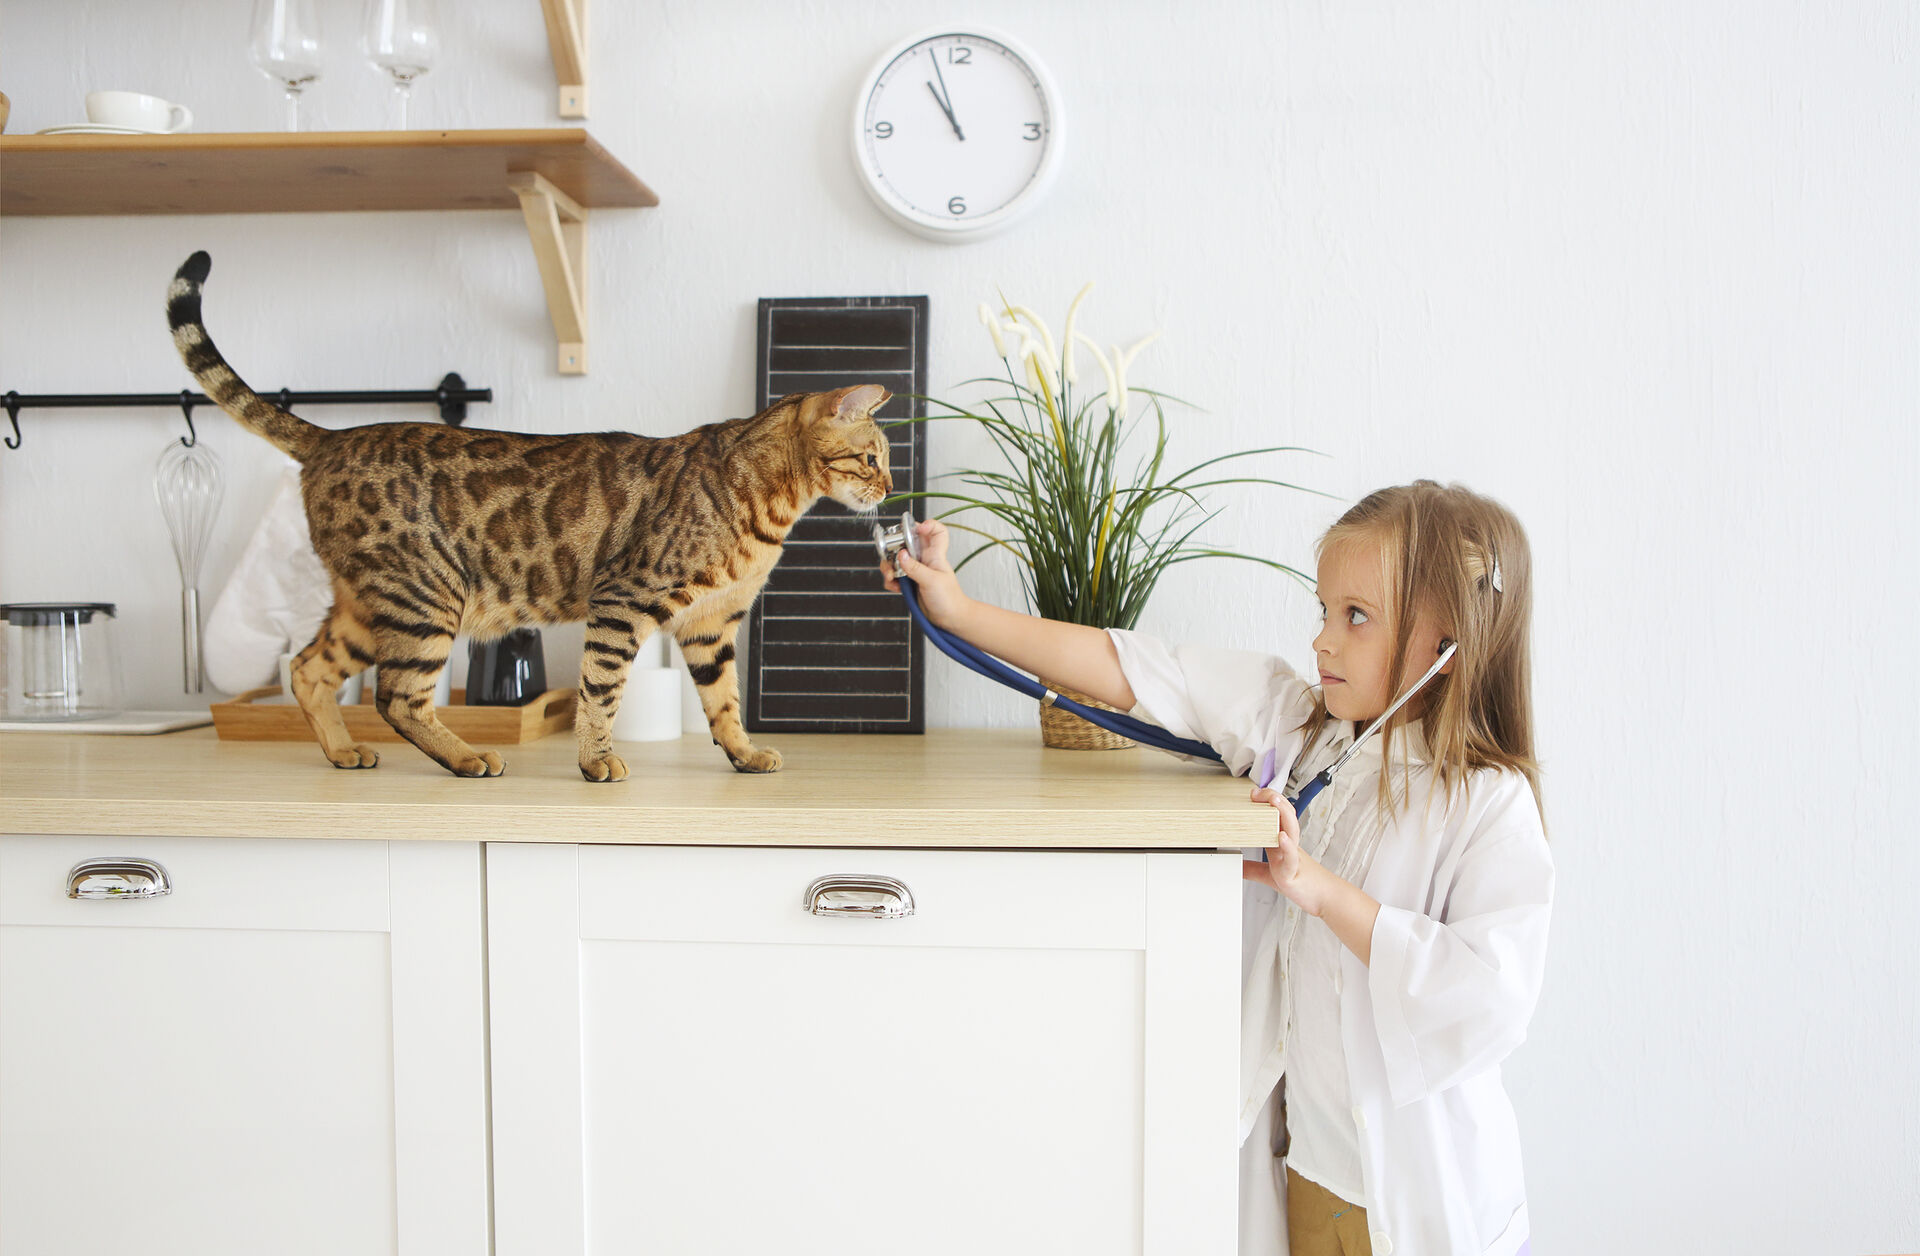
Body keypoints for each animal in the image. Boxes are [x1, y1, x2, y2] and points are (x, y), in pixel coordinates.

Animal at [165, 251, 890, 783]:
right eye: (873, 456)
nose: (888, 487)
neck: (768, 504)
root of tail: (331, 438)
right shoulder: (623, 600)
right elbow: (601, 691)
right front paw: (596, 761)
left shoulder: (711, 625)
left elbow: (725, 703)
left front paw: (743, 754)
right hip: (426, 595)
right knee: (395, 694)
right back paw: (466, 758)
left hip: (369, 604)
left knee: (308, 670)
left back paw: (343, 751)